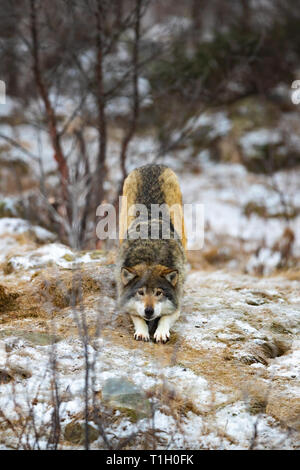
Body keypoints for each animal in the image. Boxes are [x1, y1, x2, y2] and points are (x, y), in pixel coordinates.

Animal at [116, 163, 186, 344]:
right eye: (140, 292)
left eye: (158, 293)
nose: (149, 311)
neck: (150, 258)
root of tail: (152, 164)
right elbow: (137, 317)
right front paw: (142, 332)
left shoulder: (176, 301)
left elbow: (165, 317)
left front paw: (160, 332)